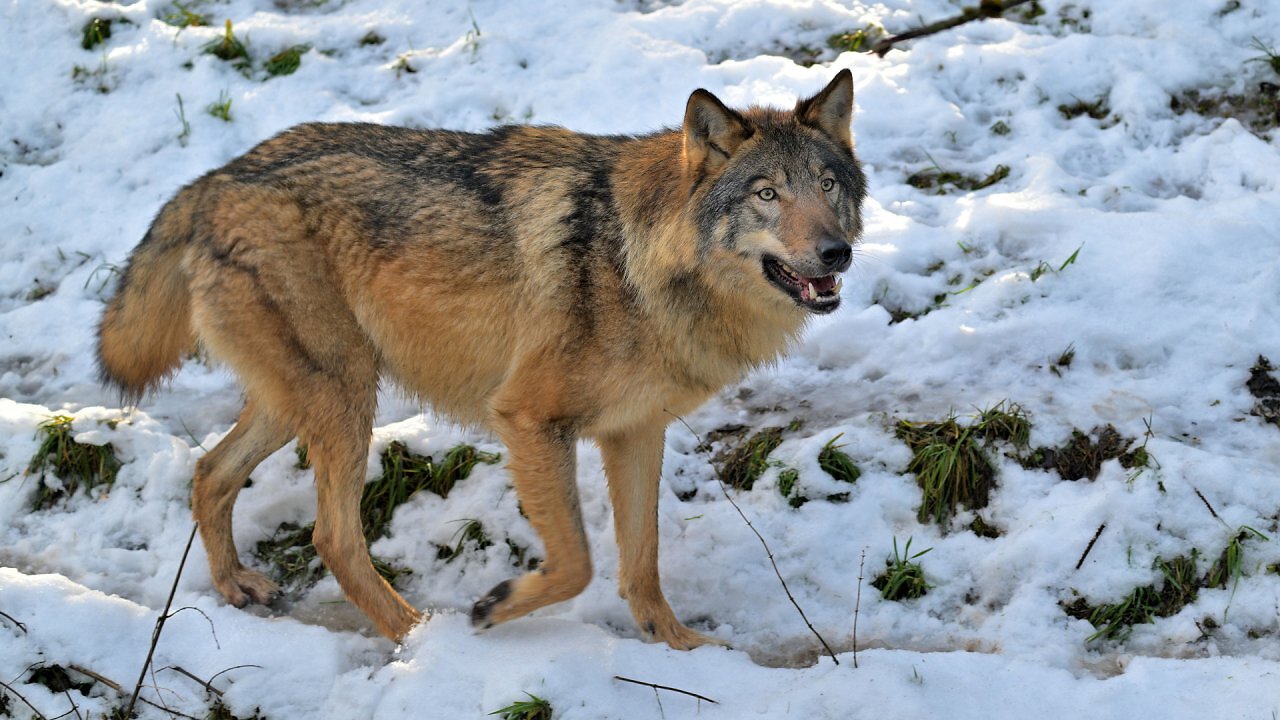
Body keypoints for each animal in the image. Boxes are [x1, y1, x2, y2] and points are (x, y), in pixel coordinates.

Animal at [96, 70, 866, 649]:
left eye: (826, 186)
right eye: (767, 193)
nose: (837, 254)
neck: (639, 263)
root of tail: (215, 179)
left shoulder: (635, 433)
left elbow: (641, 563)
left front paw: (681, 649)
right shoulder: (527, 419)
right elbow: (579, 562)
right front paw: (493, 608)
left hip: (305, 400)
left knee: (210, 473)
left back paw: (238, 585)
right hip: (345, 398)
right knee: (332, 535)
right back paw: (418, 638)